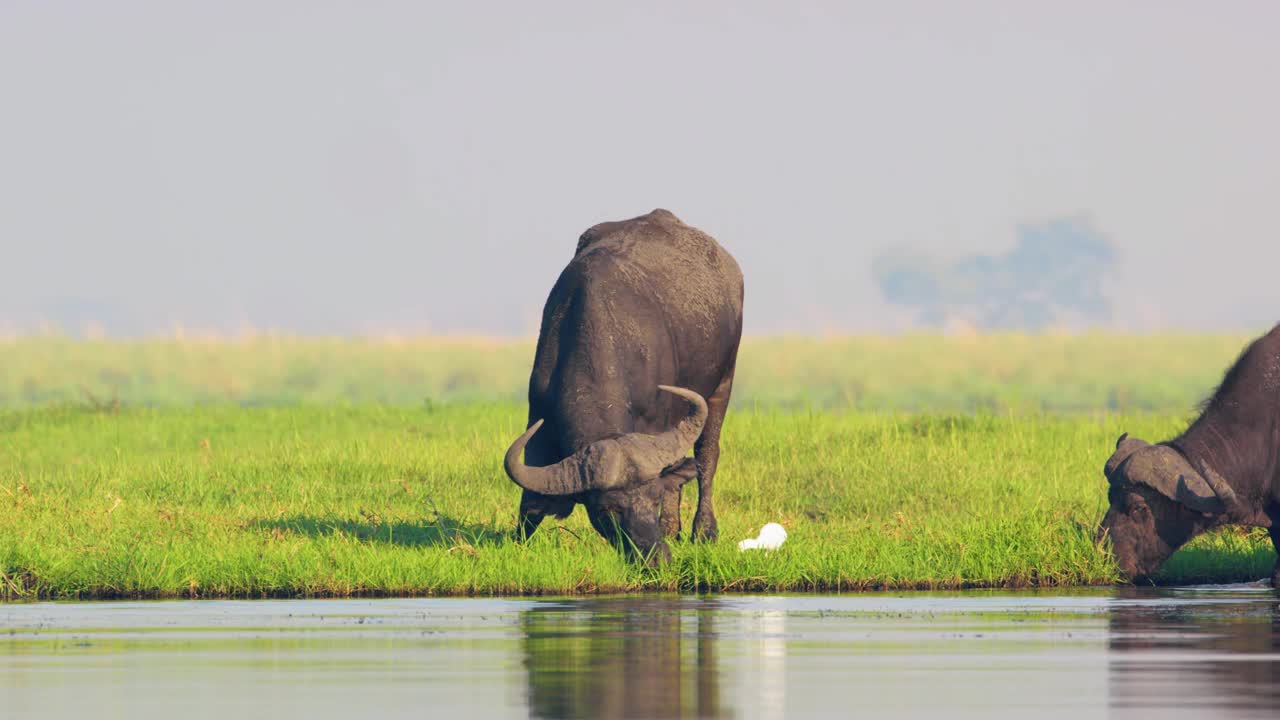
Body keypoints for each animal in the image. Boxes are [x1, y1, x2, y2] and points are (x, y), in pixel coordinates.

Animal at [499, 207, 742, 561]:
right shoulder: (539, 415)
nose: (656, 556)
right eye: (607, 511)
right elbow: (530, 500)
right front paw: (518, 541)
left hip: (722, 383)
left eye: (653, 499)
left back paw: (700, 530)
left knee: (706, 454)